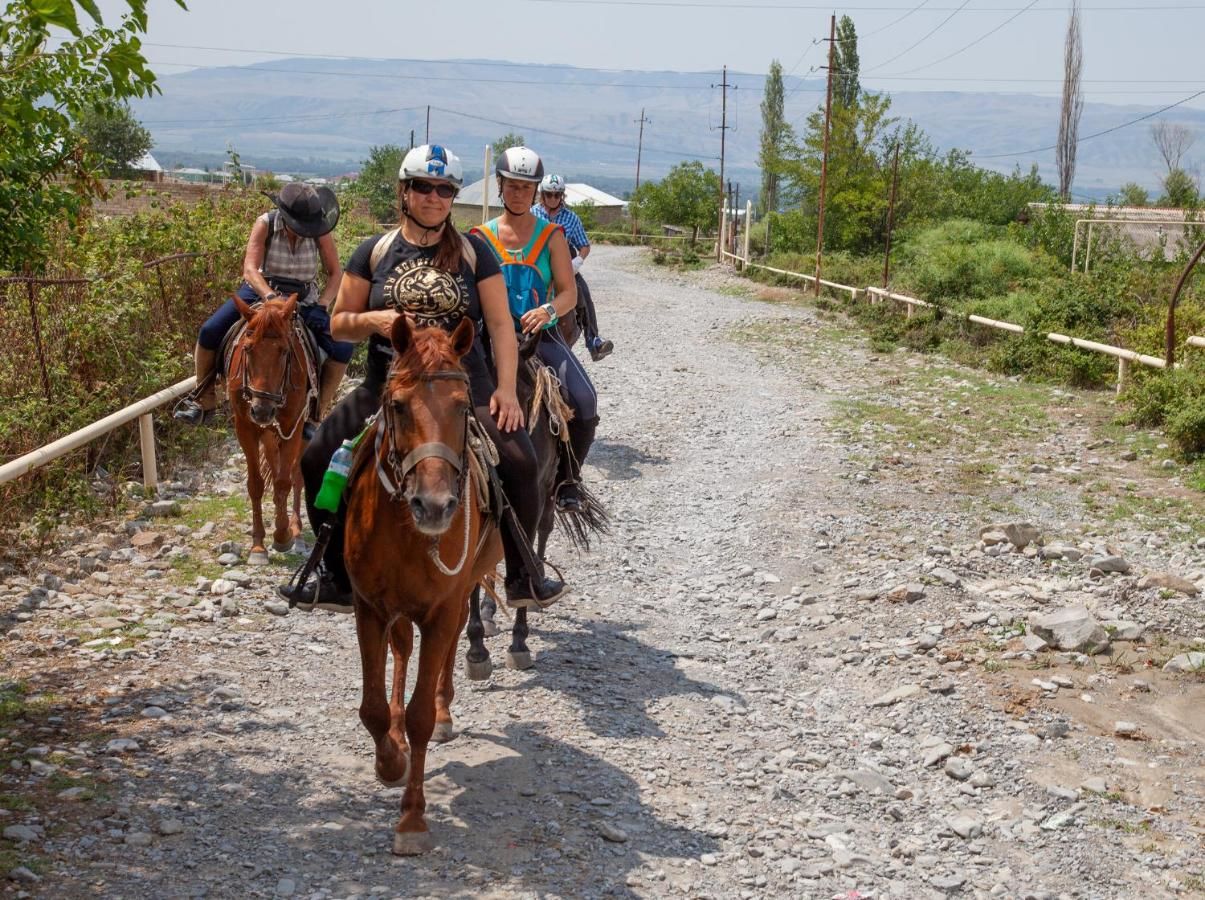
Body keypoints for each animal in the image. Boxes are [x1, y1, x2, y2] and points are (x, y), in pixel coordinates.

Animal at [226, 295, 310, 563]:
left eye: (284, 351)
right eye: (248, 348)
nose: (262, 410)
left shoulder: (293, 425)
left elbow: (285, 481)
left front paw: (282, 535)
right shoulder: (245, 428)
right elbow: (256, 483)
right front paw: (258, 545)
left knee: (296, 474)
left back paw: (295, 529)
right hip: (268, 433)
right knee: (274, 465)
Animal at [342, 315, 501, 857]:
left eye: (463, 405)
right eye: (397, 405)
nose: (433, 506)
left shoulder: (441, 607)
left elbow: (420, 720)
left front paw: (412, 818)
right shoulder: (369, 606)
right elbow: (372, 708)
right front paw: (389, 761)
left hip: (462, 587)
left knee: (450, 645)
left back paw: (445, 702)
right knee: (402, 650)